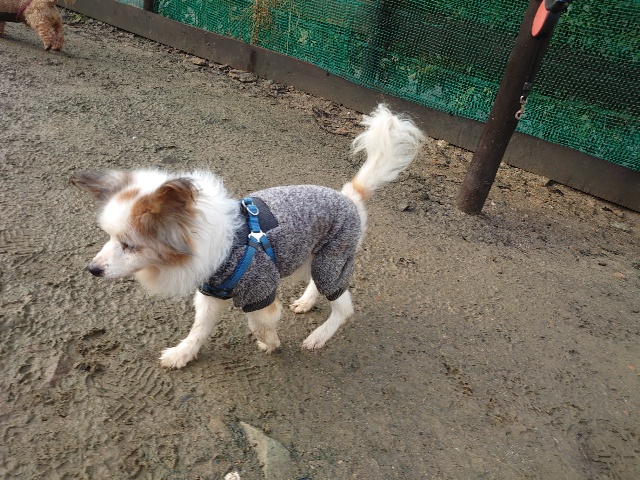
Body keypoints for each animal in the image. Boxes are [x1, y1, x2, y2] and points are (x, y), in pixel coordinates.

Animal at [70, 104, 425, 369]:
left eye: (129, 245)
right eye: (108, 237)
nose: (93, 269)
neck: (225, 245)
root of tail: (351, 196)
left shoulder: (260, 290)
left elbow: (259, 322)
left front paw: (270, 343)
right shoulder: (211, 292)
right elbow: (199, 328)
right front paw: (183, 354)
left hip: (332, 259)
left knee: (344, 307)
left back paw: (318, 337)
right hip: (318, 255)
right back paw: (307, 302)